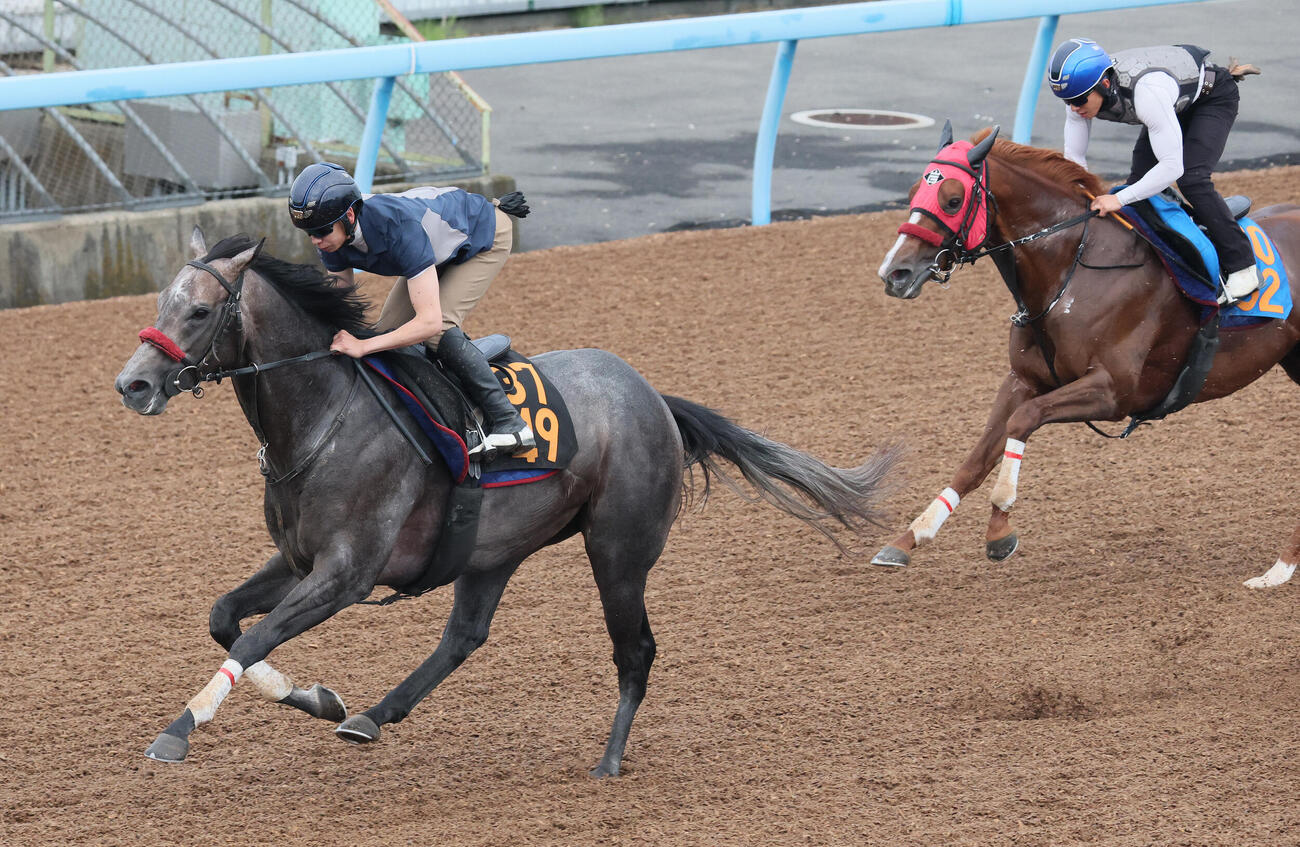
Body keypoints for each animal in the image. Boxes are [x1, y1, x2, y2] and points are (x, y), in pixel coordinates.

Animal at [114, 227, 898, 777]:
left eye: (200, 310)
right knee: (465, 635)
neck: (323, 419)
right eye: (159, 304)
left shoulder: (346, 572)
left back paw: (610, 759)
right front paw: (316, 697)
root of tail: (653, 397)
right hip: (492, 550)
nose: (133, 384)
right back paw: (371, 714)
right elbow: (225, 620)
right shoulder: (298, 559)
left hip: (618, 550)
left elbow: (254, 636)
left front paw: (177, 732)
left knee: (636, 648)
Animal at [873, 123, 1300, 589]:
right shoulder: (1024, 379)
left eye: (952, 199)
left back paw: (1277, 570)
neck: (1071, 269)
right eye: (914, 191)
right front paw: (908, 537)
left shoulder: (1112, 391)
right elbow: (977, 458)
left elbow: (1022, 422)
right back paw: (1281, 569)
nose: (894, 273)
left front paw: (1000, 528)